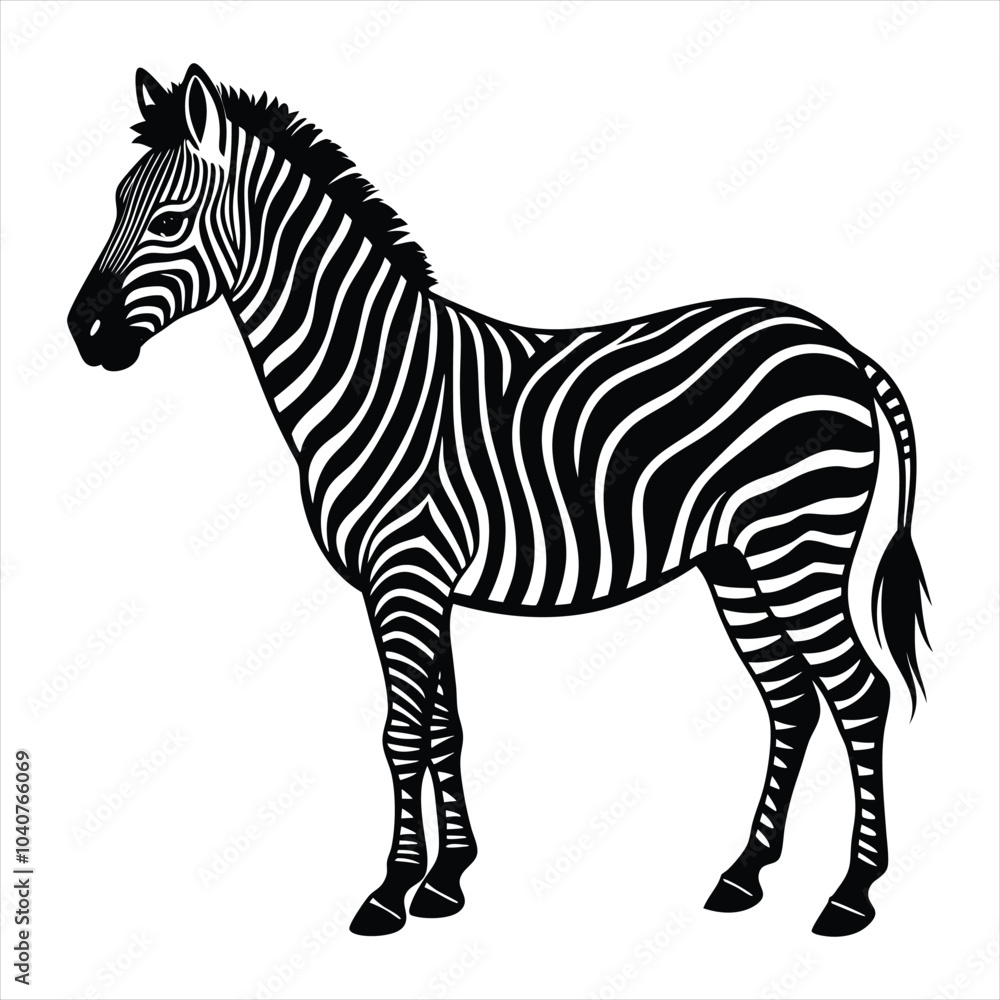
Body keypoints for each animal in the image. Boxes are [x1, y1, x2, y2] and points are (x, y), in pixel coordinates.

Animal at [67, 65, 931, 938]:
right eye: (115, 203)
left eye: (169, 220)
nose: (81, 333)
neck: (374, 374)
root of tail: (837, 345)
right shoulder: (412, 583)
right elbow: (442, 727)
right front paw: (448, 878)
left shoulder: (407, 571)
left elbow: (401, 733)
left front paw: (391, 891)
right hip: (738, 562)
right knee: (791, 700)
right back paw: (744, 874)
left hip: (797, 544)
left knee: (860, 694)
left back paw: (852, 893)